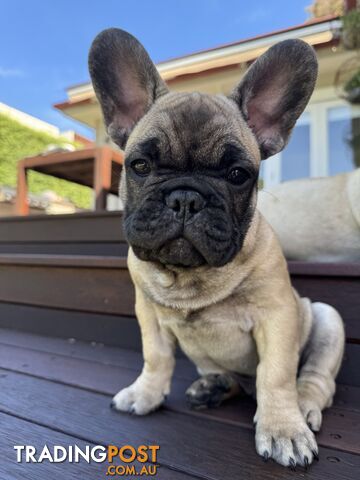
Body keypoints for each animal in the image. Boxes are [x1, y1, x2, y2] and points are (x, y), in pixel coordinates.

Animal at [88, 30, 344, 468]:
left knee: (313, 380)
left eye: (238, 175)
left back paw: (303, 407)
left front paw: (283, 429)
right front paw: (145, 394)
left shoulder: (277, 316)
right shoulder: (148, 317)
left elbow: (277, 375)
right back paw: (215, 386)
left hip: (327, 318)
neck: (190, 276)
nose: (185, 198)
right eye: (140, 165)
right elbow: (156, 357)